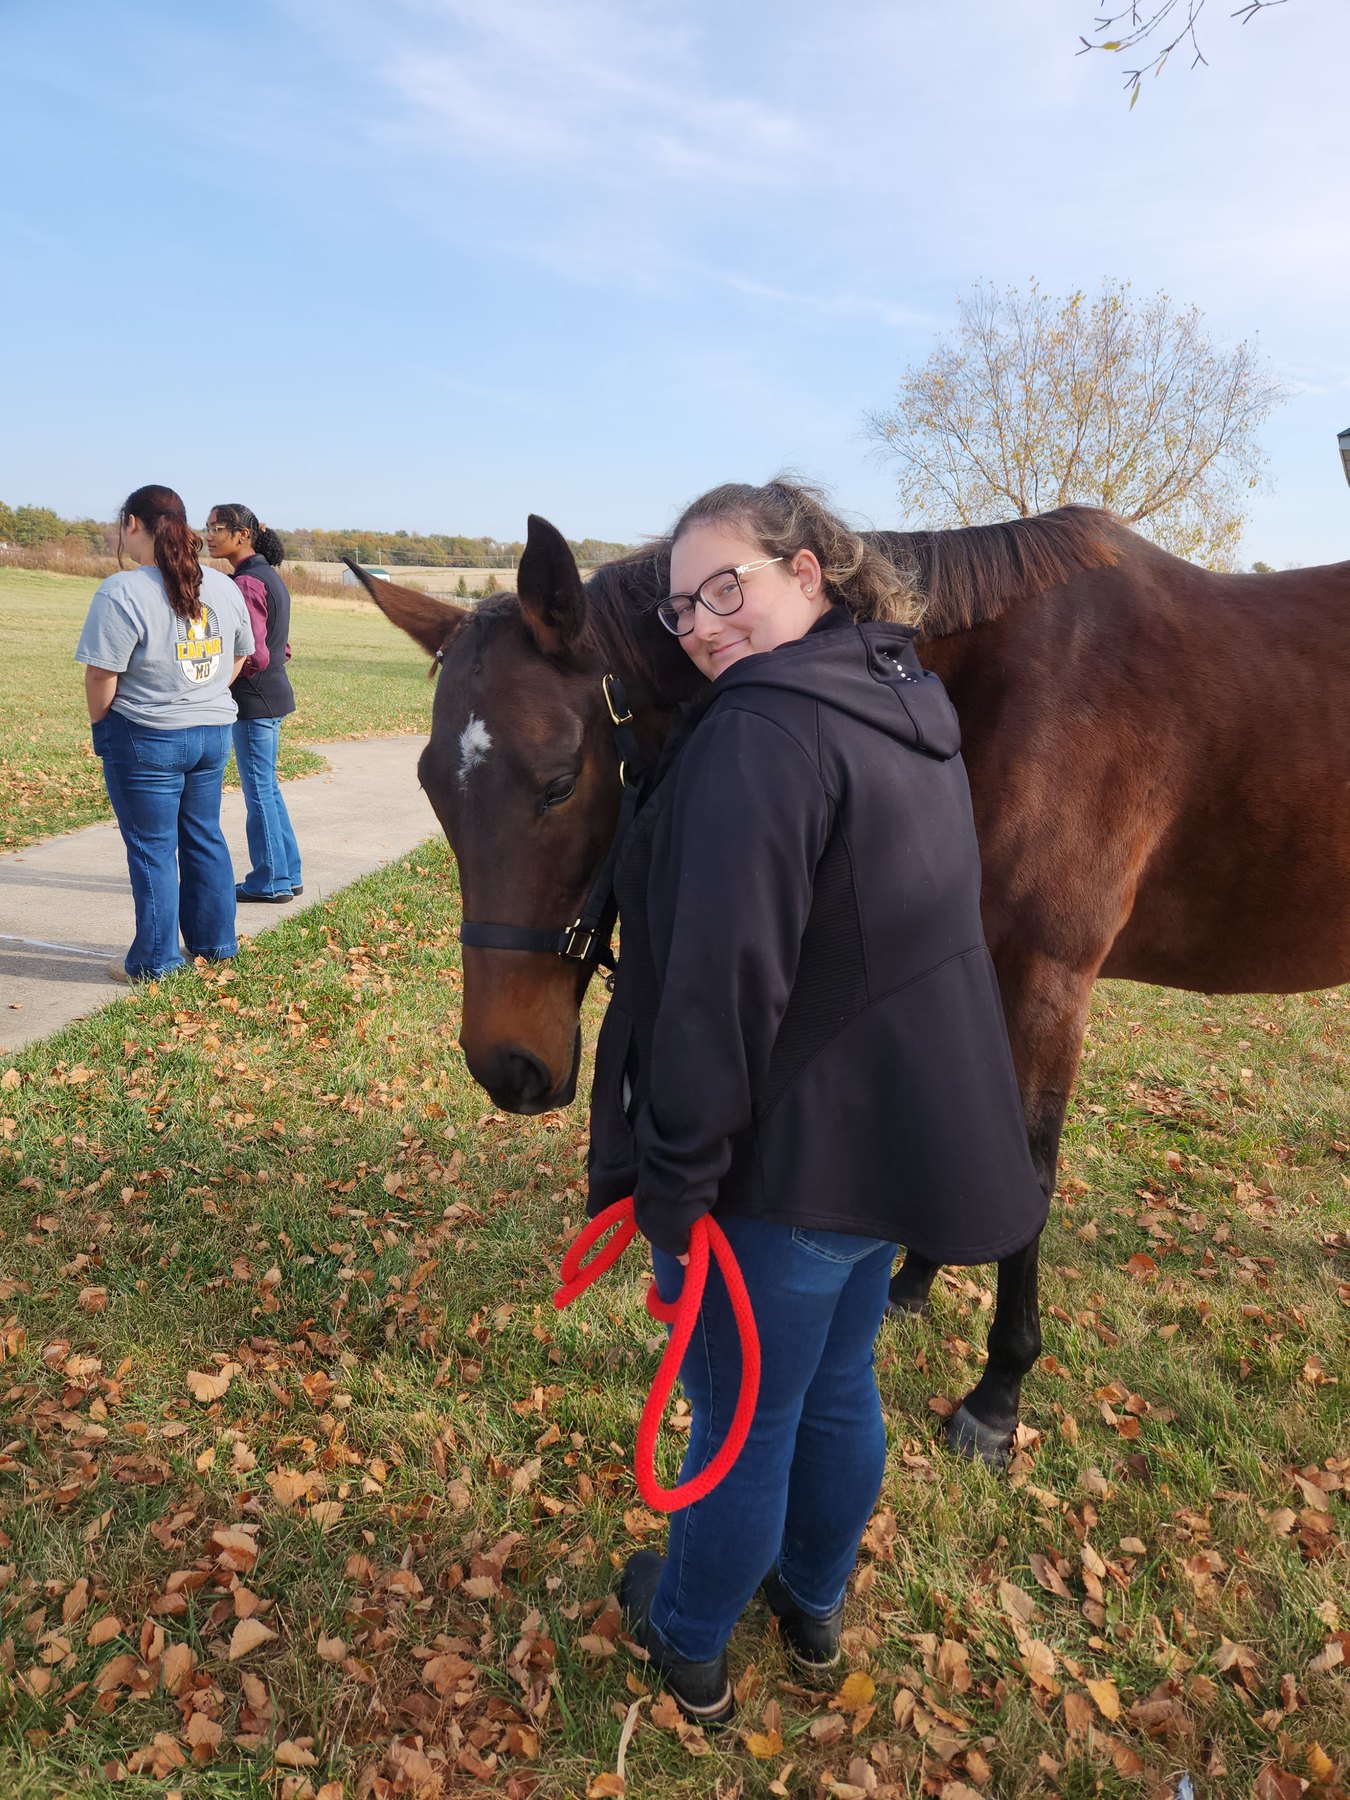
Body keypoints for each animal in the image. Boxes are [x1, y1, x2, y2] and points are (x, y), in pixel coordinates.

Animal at [345, 510, 1350, 1462]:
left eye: (558, 782)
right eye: (433, 786)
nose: (506, 1065)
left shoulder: (1050, 981)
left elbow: (1029, 1168)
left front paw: (998, 1393)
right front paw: (916, 1280)